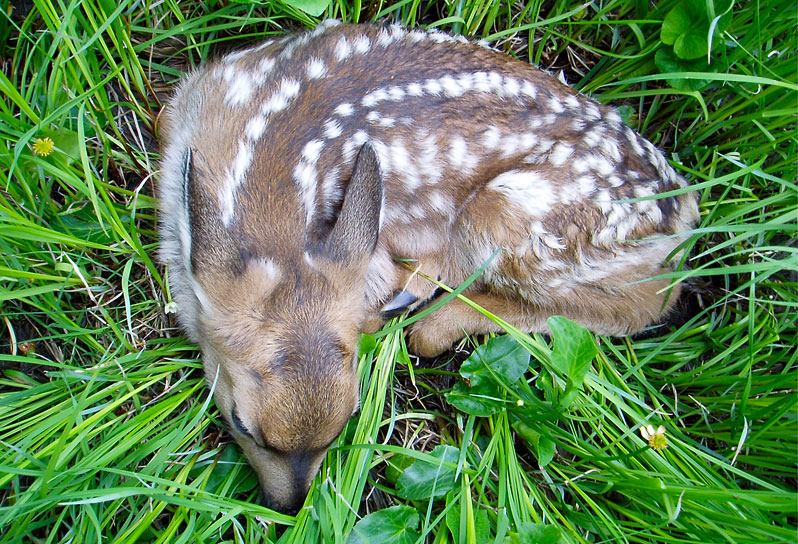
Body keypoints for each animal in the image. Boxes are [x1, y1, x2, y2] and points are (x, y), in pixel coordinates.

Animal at [157, 20, 699, 514]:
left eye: (350, 419)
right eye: (240, 422)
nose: (288, 505)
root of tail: (685, 210)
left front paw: (394, 306)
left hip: (509, 215)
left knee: (633, 308)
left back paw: (431, 319)